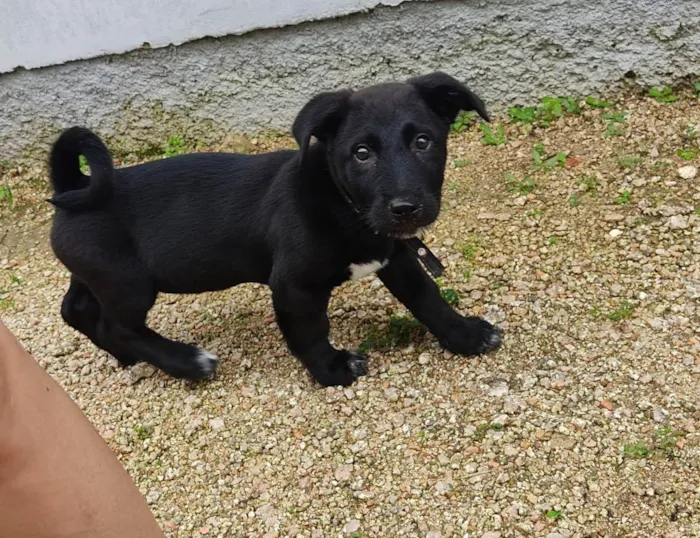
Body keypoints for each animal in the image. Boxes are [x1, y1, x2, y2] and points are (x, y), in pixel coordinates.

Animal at [49, 72, 504, 386]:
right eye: (361, 153)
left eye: (423, 142)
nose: (406, 208)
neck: (341, 201)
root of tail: (73, 187)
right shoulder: (294, 285)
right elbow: (310, 331)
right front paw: (332, 369)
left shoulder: (395, 257)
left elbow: (427, 298)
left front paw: (463, 335)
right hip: (129, 283)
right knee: (118, 326)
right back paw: (186, 363)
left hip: (98, 275)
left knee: (77, 310)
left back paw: (129, 360)